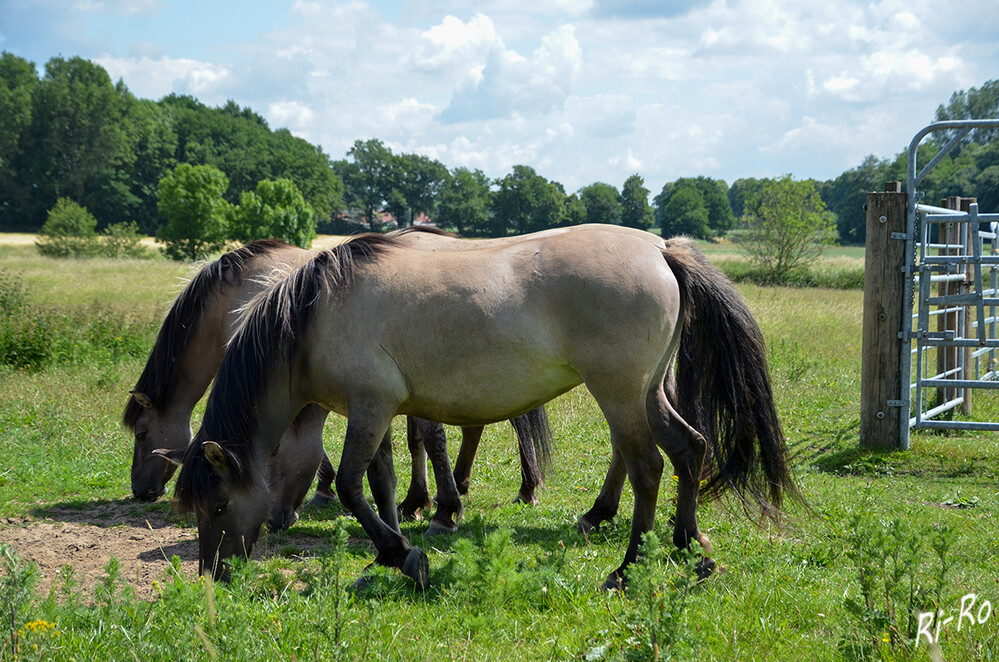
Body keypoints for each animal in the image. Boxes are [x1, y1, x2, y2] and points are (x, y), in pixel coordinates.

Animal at [123, 233, 556, 536]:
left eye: (142, 434)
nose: (140, 490)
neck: (237, 296)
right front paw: (408, 501)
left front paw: (435, 508)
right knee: (480, 424)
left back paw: (515, 488)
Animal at [170, 224, 796, 592]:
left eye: (219, 506)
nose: (213, 574)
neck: (313, 316)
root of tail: (660, 250)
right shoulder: (376, 412)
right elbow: (381, 481)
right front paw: (394, 549)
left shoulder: (370, 407)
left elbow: (350, 485)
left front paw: (403, 553)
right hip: (650, 393)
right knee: (690, 451)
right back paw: (691, 549)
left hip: (620, 394)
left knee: (647, 468)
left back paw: (626, 568)